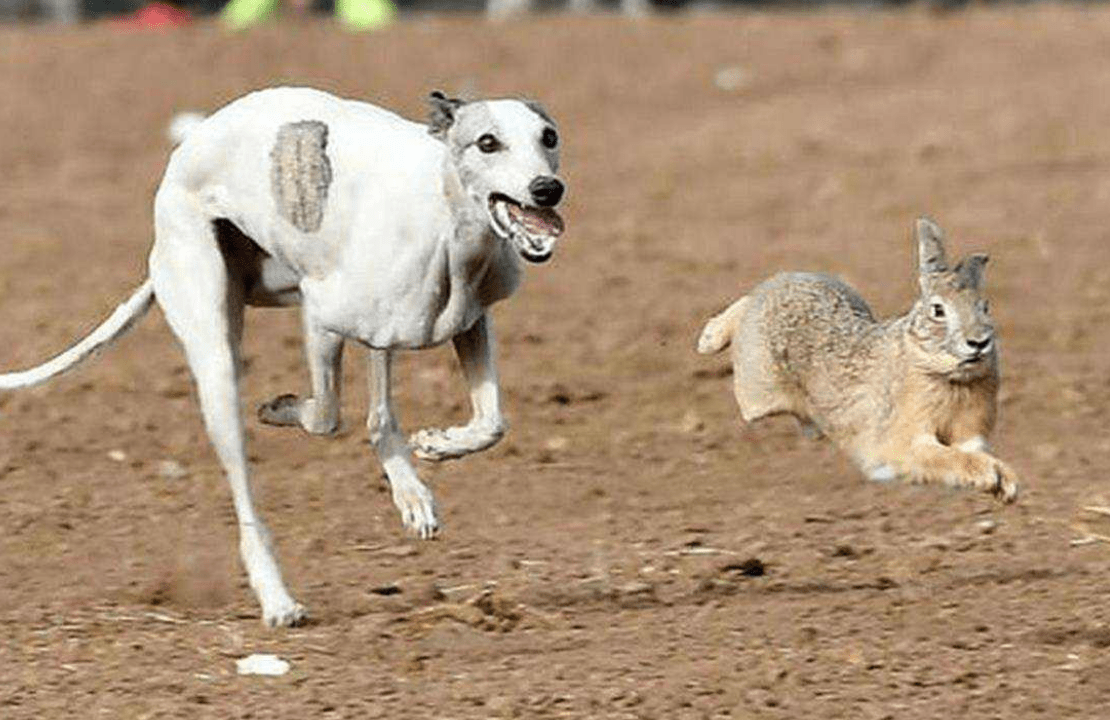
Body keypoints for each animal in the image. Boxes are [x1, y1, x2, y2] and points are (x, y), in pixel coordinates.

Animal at [0, 87, 568, 625]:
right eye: (488, 142)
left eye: (549, 136)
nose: (548, 189)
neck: (444, 214)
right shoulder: (323, 312)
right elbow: (327, 415)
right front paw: (283, 408)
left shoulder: (461, 321)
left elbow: (483, 421)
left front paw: (434, 451)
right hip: (216, 351)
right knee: (247, 485)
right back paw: (277, 598)